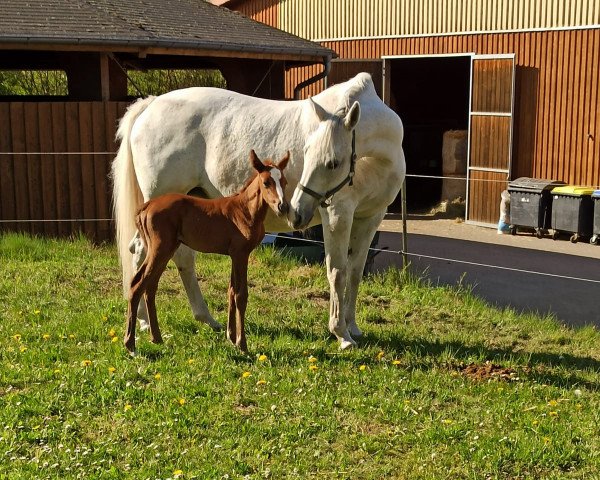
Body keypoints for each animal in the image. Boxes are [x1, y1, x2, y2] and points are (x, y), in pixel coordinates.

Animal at [123, 150, 288, 352]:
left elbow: (231, 291)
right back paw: (130, 344)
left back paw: (156, 338)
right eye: (266, 182)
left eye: (284, 182)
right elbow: (241, 295)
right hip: (159, 249)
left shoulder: (233, 255)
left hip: (165, 250)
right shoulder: (241, 254)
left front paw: (231, 336)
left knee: (150, 286)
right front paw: (242, 344)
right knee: (137, 284)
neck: (244, 210)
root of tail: (146, 207)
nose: (283, 207)